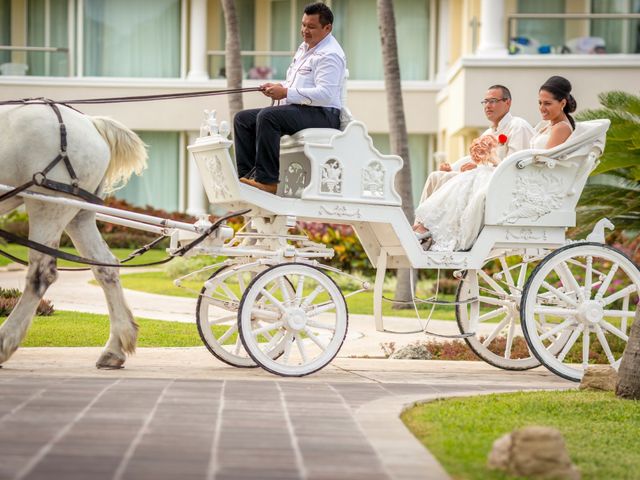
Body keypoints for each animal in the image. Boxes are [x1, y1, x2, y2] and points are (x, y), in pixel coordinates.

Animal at [0, 103, 146, 370]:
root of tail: (90, 123)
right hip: (79, 214)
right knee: (105, 266)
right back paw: (115, 347)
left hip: (48, 205)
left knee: (41, 274)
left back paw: (5, 341)